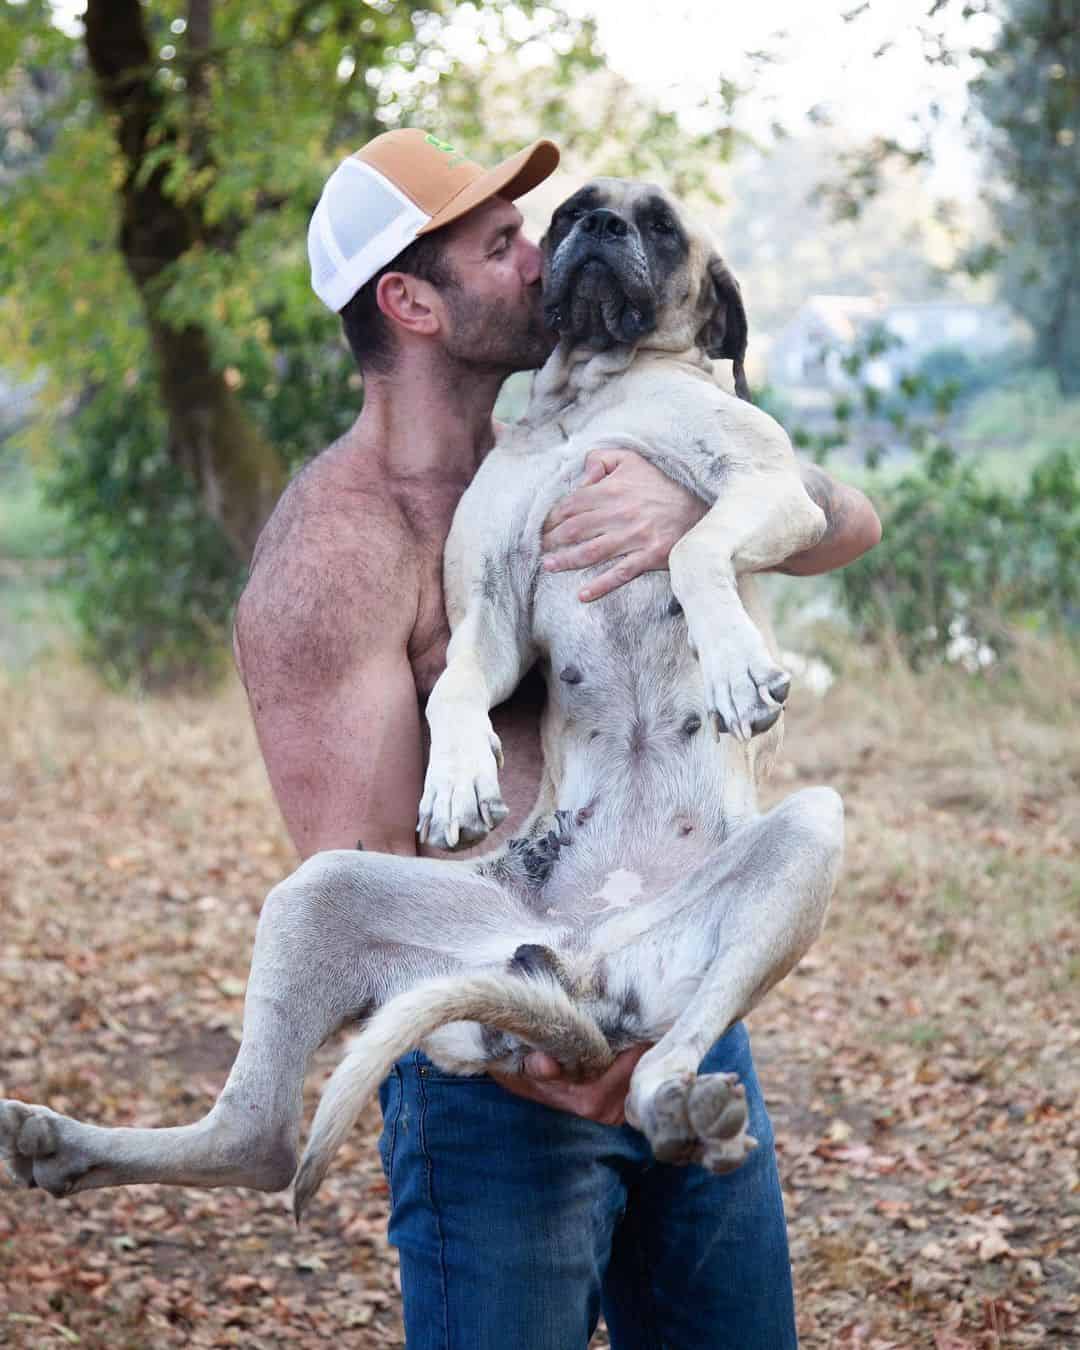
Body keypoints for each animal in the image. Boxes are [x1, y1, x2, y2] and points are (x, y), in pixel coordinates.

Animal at [0, 174, 842, 1220]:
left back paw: (693, 1113)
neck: (595, 397)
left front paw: (731, 660)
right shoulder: (491, 611)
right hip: (327, 893)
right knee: (258, 1141)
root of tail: (582, 973)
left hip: (807, 835)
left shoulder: (774, 489)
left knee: (660, 1068)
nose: (599, 228)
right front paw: (456, 781)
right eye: (570, 212)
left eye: (658, 225)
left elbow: (690, 541)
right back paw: (60, 1142)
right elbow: (455, 693)